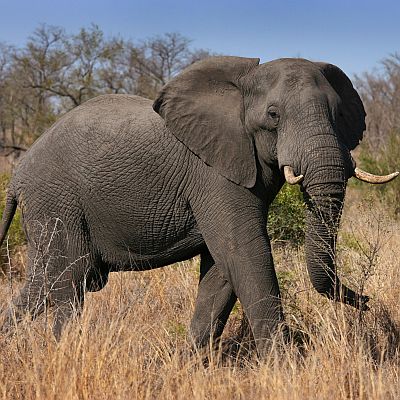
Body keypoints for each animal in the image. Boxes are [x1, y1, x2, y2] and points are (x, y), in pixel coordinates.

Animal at [0, 55, 396, 356]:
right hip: (57, 200)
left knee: (42, 283)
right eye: (273, 115)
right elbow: (243, 251)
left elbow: (221, 269)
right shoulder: (213, 172)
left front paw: (189, 364)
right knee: (71, 280)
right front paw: (286, 367)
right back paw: (63, 353)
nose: (366, 300)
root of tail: (17, 177)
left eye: (338, 114)